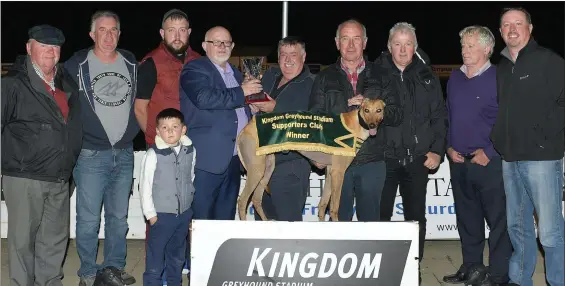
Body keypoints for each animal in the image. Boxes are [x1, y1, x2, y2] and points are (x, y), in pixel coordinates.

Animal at [236, 98, 386, 221]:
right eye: (366, 110)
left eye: (379, 110)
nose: (372, 126)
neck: (356, 124)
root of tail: (244, 130)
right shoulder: (338, 172)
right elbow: (334, 208)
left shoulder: (330, 171)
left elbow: (323, 205)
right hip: (256, 171)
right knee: (242, 201)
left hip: (267, 169)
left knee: (256, 200)